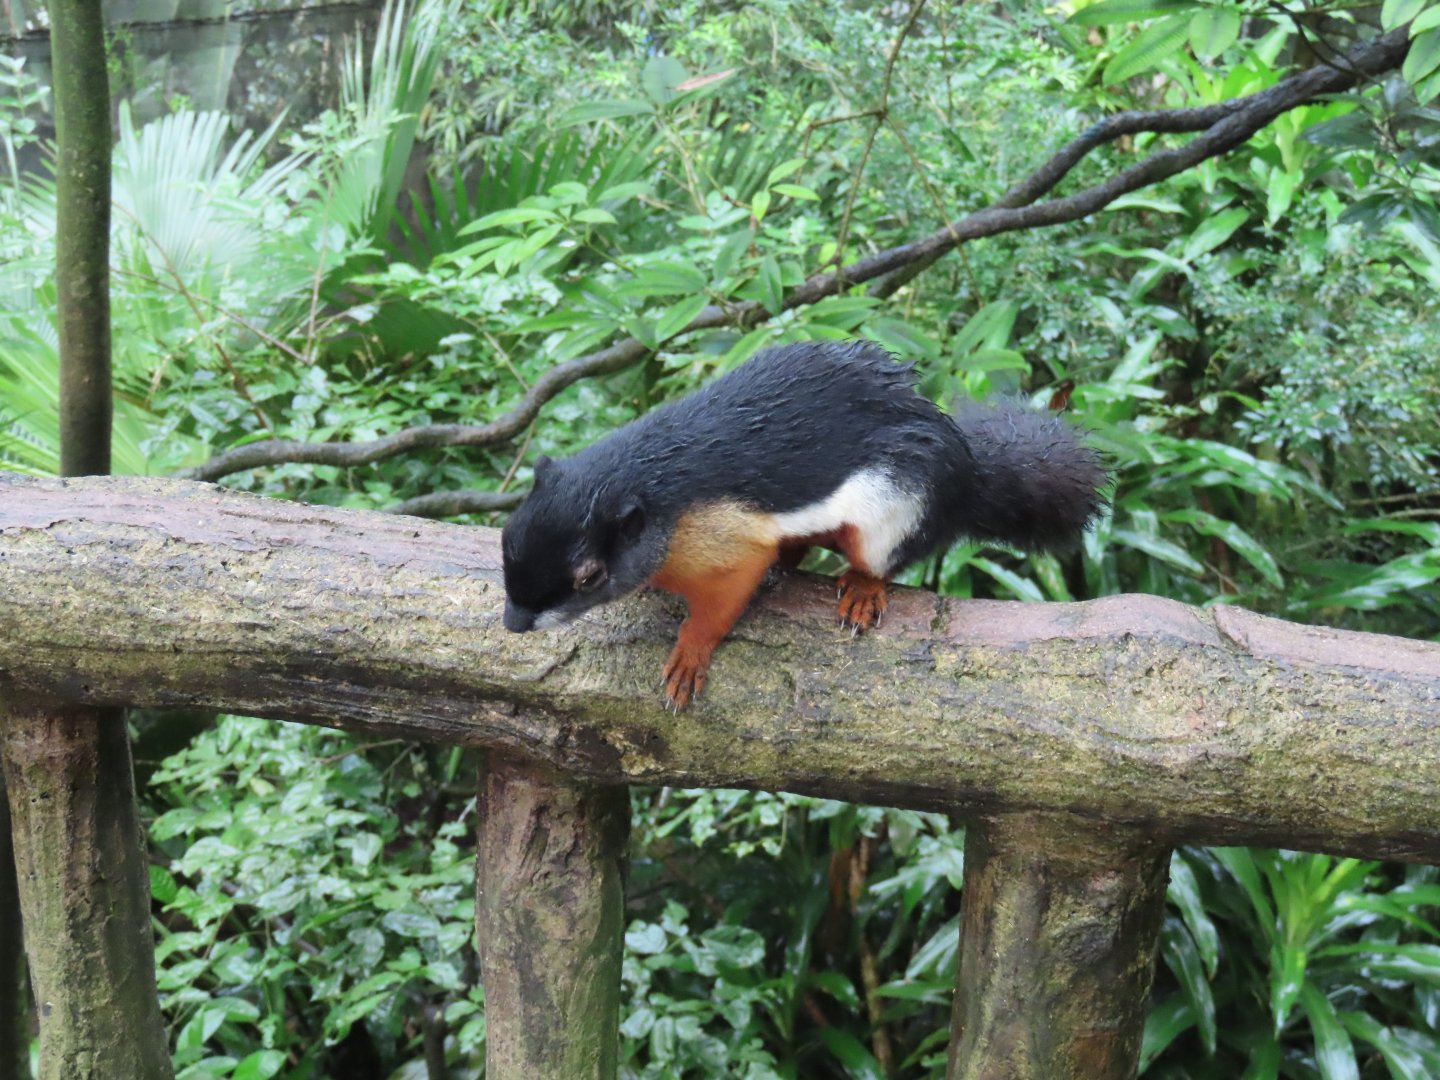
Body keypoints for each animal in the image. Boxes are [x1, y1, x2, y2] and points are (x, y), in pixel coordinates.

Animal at [501, 340, 1108, 708]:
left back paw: (862, 590)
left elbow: (719, 605)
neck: (652, 486)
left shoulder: (727, 545)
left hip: (897, 507)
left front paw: (688, 657)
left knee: (880, 561)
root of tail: (968, 480)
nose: (512, 625)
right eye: (508, 534)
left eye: (589, 576)